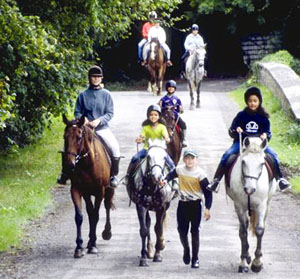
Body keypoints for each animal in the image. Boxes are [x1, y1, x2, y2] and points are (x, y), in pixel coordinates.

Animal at [62, 115, 114, 260]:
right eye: (64, 137)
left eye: (79, 137)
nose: (69, 165)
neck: (87, 164)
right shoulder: (78, 190)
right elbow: (80, 217)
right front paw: (79, 247)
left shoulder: (100, 191)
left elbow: (96, 215)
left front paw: (93, 246)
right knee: (90, 213)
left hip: (109, 190)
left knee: (107, 206)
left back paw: (106, 233)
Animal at [227, 137, 276, 274]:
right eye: (243, 162)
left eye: (262, 164)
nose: (249, 189)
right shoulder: (239, 206)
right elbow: (243, 232)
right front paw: (244, 262)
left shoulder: (262, 205)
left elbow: (259, 230)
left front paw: (257, 263)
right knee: (242, 229)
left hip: (268, 204)